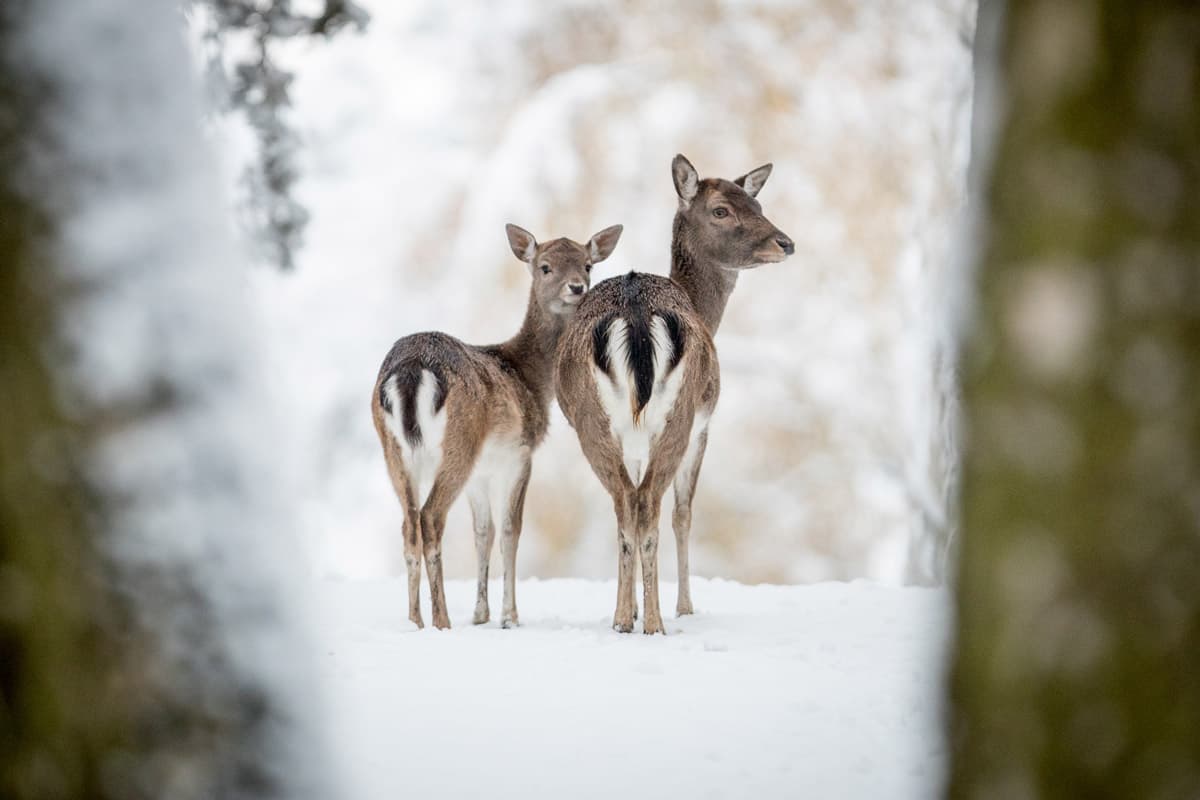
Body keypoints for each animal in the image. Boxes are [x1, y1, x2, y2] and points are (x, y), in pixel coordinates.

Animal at [369, 221, 624, 628]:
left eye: (587, 265)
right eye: (545, 267)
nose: (577, 287)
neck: (532, 379)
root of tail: (410, 370)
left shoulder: (482, 470)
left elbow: (482, 532)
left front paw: (481, 613)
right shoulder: (519, 452)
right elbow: (509, 530)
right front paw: (509, 616)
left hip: (393, 450)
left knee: (408, 523)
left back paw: (415, 621)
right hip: (459, 440)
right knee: (430, 517)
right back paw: (441, 620)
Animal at [554, 154, 796, 633]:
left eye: (757, 205)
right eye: (721, 210)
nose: (785, 243)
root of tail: (635, 313)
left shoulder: (634, 439)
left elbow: (631, 511)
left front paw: (629, 609)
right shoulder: (704, 425)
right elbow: (683, 512)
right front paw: (684, 606)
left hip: (598, 421)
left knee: (627, 504)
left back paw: (626, 619)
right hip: (676, 416)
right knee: (649, 504)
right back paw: (656, 623)